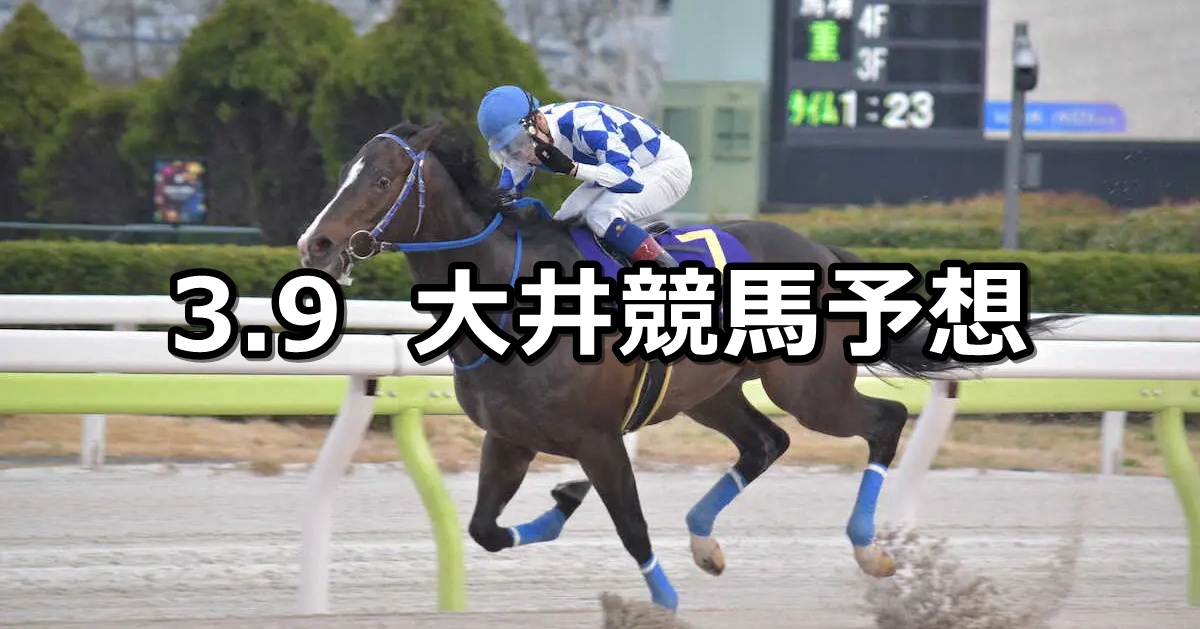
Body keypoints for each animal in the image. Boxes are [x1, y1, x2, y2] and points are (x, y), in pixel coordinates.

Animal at [295, 119, 1076, 612]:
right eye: (346, 173)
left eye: (384, 178)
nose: (316, 243)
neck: (510, 290)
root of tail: (821, 247)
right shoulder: (509, 435)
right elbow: (486, 529)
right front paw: (562, 504)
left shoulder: (599, 437)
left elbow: (632, 526)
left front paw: (662, 601)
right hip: (713, 390)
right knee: (766, 442)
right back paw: (706, 541)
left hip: (810, 387)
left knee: (883, 421)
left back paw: (870, 551)